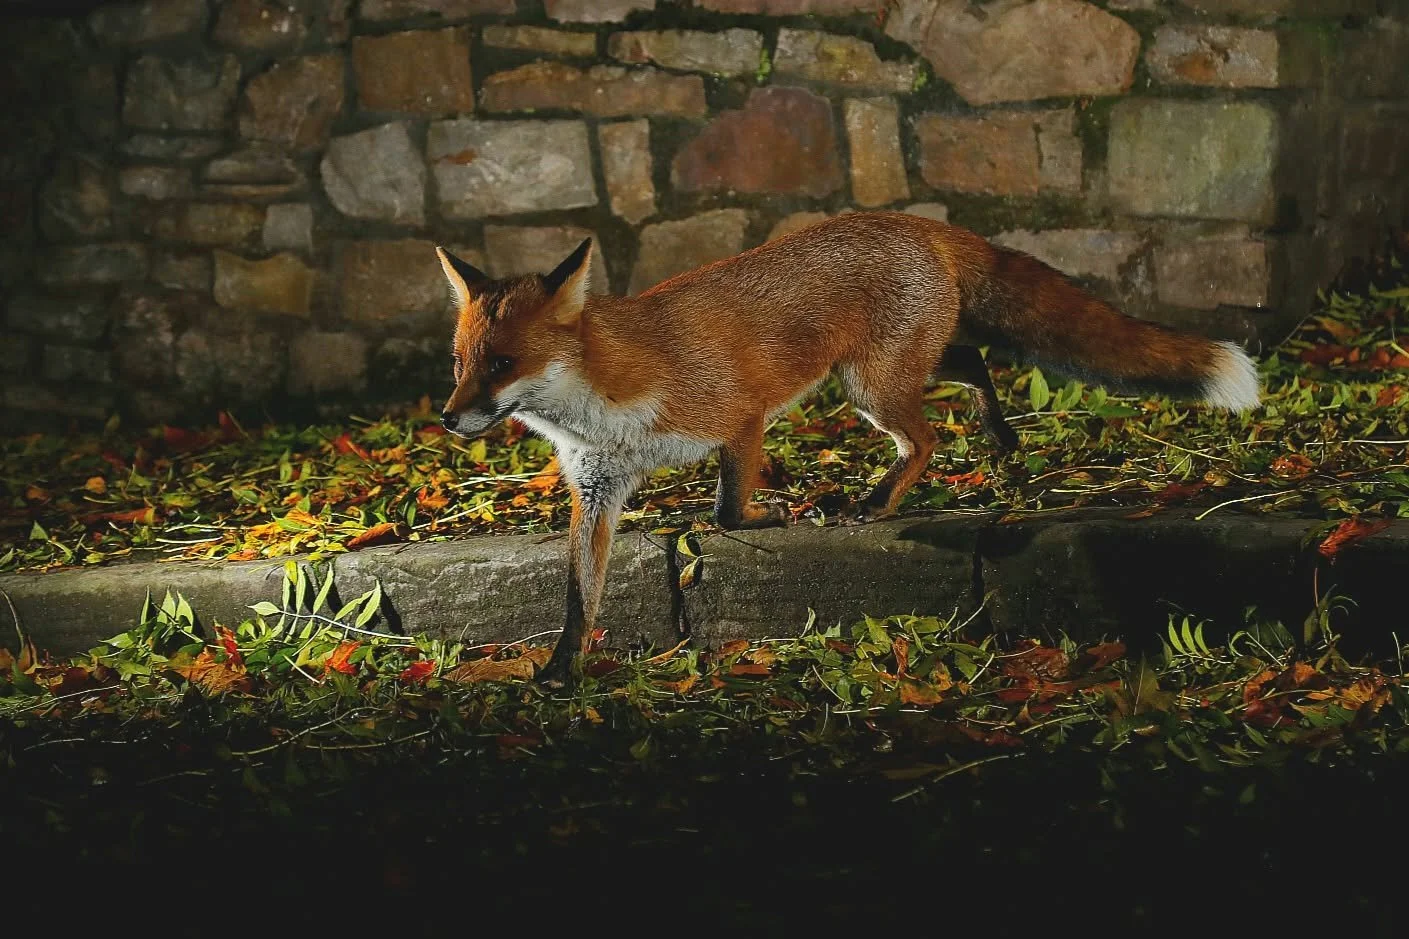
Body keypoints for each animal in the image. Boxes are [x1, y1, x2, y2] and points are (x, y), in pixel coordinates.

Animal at [435, 212, 1259, 687]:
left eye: (502, 365)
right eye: (460, 362)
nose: (447, 419)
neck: (600, 406)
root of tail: (907, 219)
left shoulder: (739, 416)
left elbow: (728, 511)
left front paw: (768, 520)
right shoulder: (597, 489)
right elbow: (580, 597)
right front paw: (562, 668)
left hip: (870, 387)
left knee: (927, 434)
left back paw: (881, 499)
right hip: (873, 379)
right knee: (971, 362)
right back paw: (998, 435)